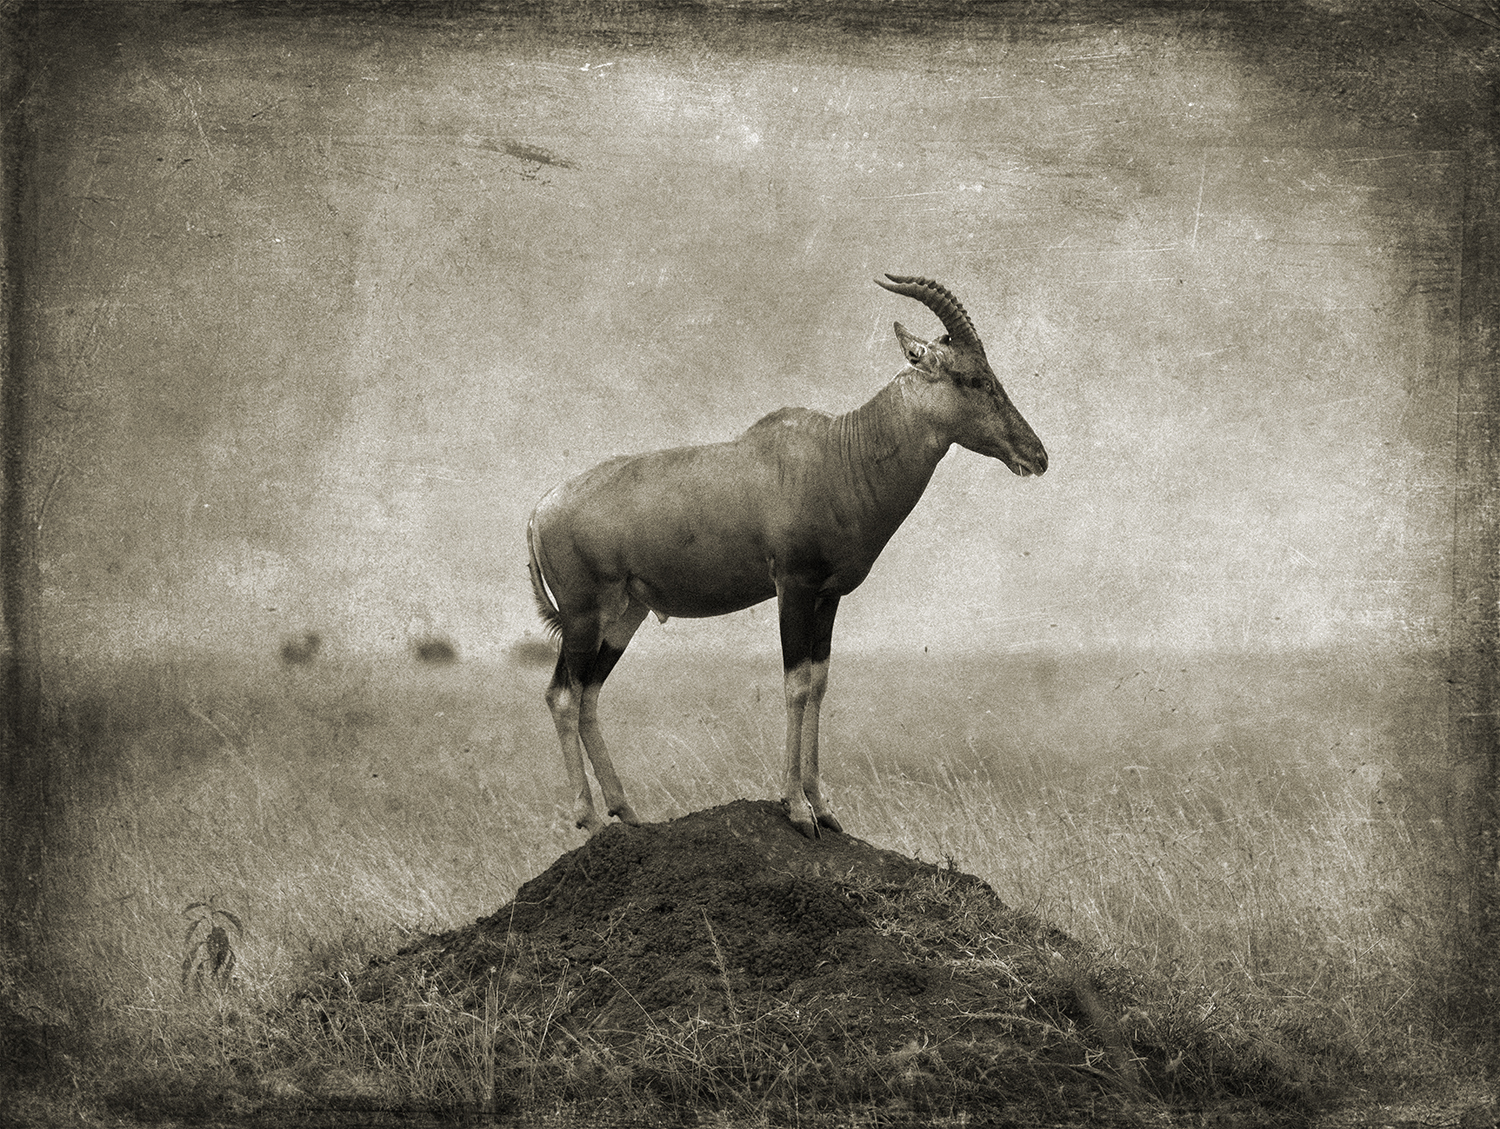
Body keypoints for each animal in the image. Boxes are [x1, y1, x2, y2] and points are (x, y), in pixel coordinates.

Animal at [528, 275, 1044, 839]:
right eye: (973, 378)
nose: (1037, 456)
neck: (838, 453)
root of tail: (541, 507)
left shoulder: (828, 596)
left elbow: (818, 685)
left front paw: (825, 808)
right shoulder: (792, 587)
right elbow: (795, 686)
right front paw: (797, 810)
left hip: (626, 615)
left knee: (589, 696)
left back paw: (627, 812)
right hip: (583, 614)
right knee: (562, 695)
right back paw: (589, 819)